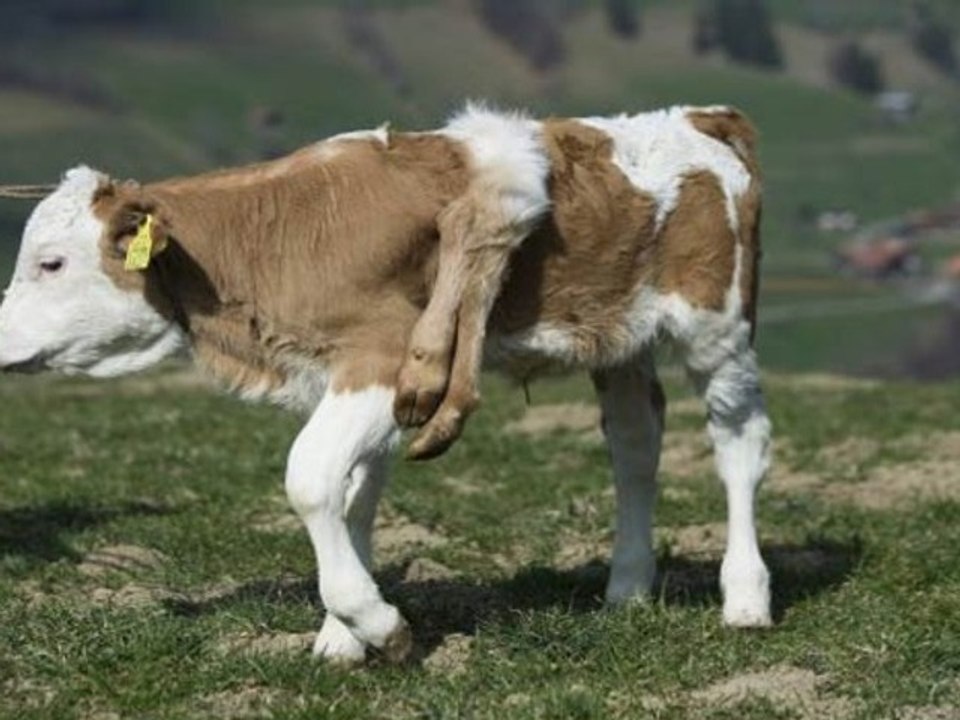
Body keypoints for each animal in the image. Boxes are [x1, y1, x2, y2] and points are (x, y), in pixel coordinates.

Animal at [0, 104, 770, 665]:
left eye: (51, 262)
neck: (283, 234)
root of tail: (698, 116)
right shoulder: (357, 386)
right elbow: (354, 497)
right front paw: (342, 639)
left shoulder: (383, 359)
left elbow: (312, 480)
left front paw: (373, 620)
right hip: (619, 344)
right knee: (636, 446)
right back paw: (628, 588)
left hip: (717, 328)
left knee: (739, 445)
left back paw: (745, 598)